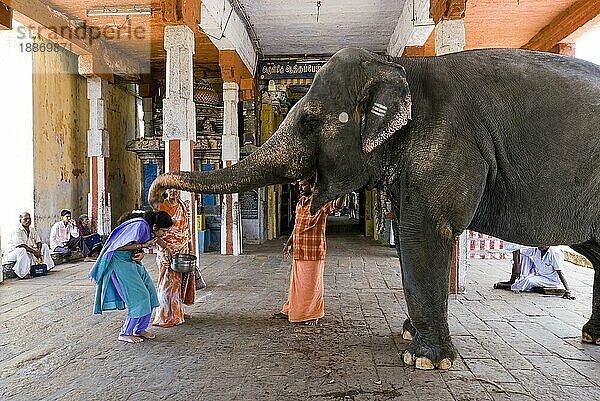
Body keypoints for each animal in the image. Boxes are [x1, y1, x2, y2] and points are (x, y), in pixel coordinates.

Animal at [151, 47, 600, 368]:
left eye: (310, 121)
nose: (159, 199)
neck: (401, 68)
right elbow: (406, 234)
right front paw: (408, 336)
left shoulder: (446, 149)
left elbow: (424, 233)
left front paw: (423, 360)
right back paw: (592, 336)